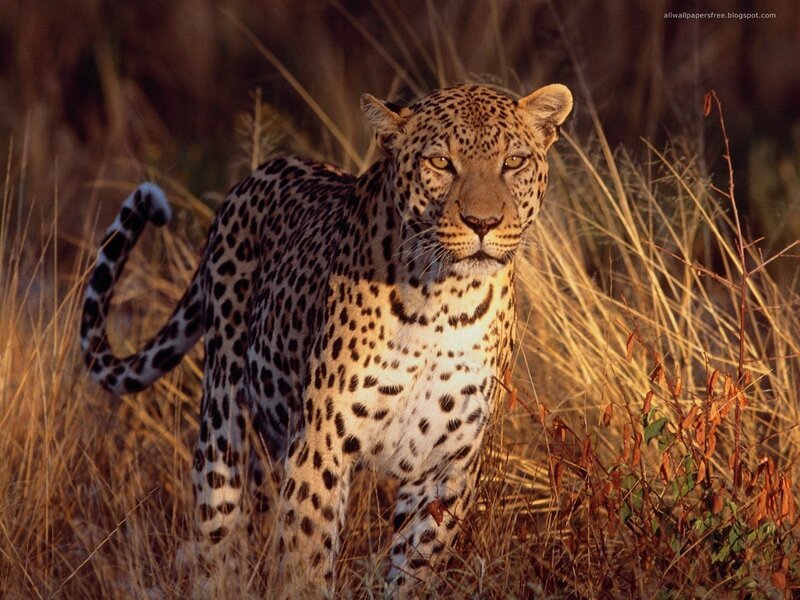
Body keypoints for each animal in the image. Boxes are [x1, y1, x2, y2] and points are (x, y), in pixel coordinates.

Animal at [80, 82, 572, 595]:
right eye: (440, 162)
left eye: (514, 162)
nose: (483, 223)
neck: (446, 304)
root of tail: (255, 175)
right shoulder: (320, 444)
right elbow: (306, 560)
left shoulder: (446, 466)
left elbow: (412, 572)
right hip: (222, 417)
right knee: (217, 533)